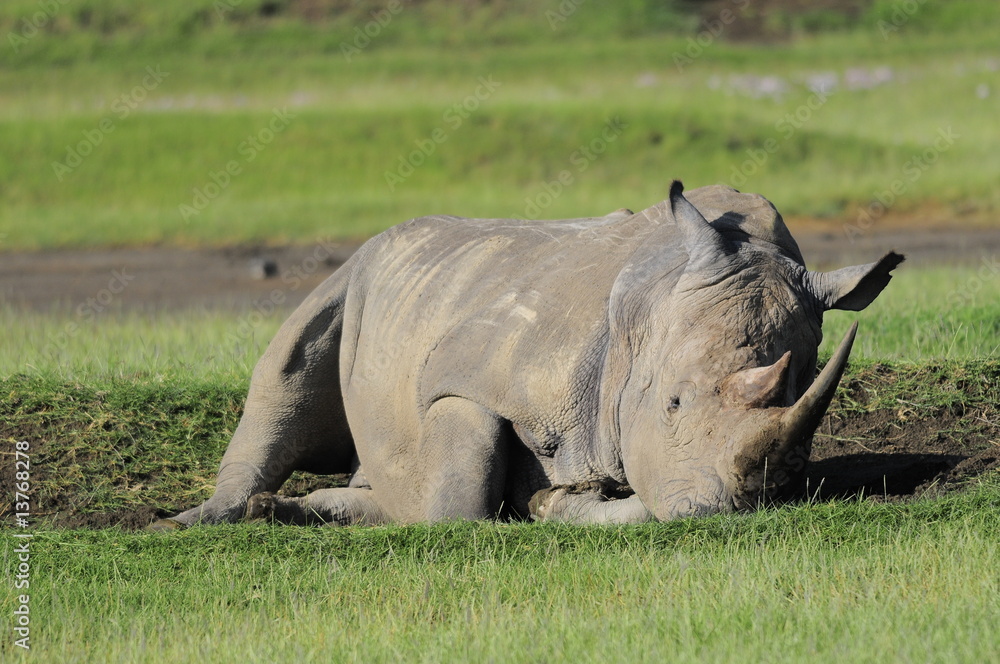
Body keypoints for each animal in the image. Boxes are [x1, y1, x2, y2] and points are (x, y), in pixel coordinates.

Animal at [150, 182, 902, 530]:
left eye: (801, 454)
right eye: (673, 403)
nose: (725, 511)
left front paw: (557, 501)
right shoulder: (466, 378)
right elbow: (459, 498)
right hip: (358, 271)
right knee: (287, 369)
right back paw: (208, 518)